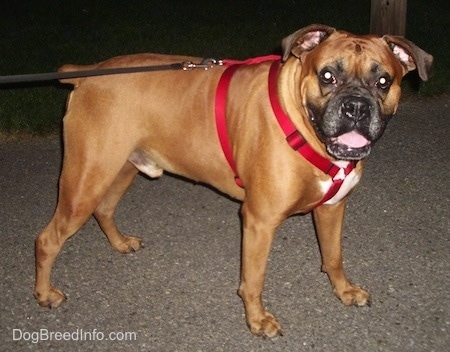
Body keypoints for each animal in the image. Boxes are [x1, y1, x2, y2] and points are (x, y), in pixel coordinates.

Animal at [32, 23, 432, 336]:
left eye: (384, 81)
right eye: (327, 76)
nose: (356, 107)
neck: (302, 123)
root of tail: (89, 72)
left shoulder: (333, 209)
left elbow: (333, 256)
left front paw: (344, 290)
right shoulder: (259, 222)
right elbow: (253, 280)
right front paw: (257, 321)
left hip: (120, 170)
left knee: (104, 209)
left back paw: (120, 244)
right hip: (85, 180)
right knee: (48, 239)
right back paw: (45, 294)